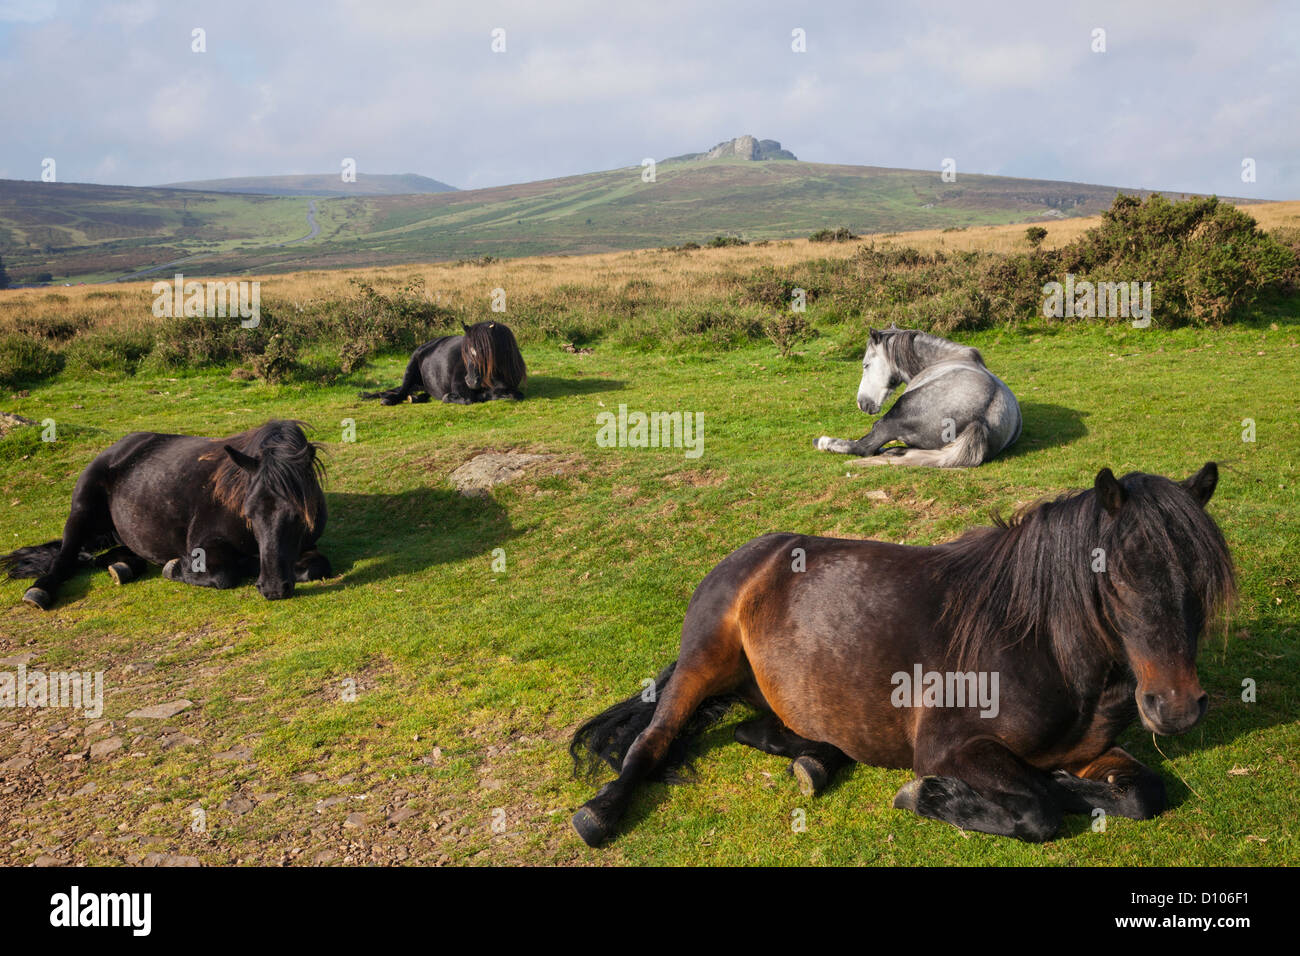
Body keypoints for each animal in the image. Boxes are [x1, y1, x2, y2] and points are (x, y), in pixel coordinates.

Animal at [1, 420, 331, 610]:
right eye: (248, 511)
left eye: (300, 516)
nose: (274, 588)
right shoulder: (204, 546)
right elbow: (223, 573)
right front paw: (175, 568)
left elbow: (317, 566)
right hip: (80, 511)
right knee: (65, 557)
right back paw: (40, 591)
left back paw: (122, 566)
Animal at [360, 321, 526, 405]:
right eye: (465, 350)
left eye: (485, 351)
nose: (471, 381)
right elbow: (467, 399)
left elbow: (515, 395)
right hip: (410, 368)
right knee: (401, 391)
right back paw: (389, 400)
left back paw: (416, 398)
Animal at [570, 463, 1233, 845]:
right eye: (1115, 576)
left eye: (1203, 578)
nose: (1176, 708)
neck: (1044, 648)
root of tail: (753, 553)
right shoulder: (950, 746)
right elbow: (1039, 807)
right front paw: (935, 796)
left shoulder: (1092, 750)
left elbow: (1144, 794)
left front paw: (1071, 786)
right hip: (702, 660)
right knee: (651, 742)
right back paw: (601, 813)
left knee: (757, 731)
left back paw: (815, 761)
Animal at [814, 326, 1021, 467]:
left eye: (866, 365)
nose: (861, 403)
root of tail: (981, 421)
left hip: (895, 415)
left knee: (866, 446)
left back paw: (824, 442)